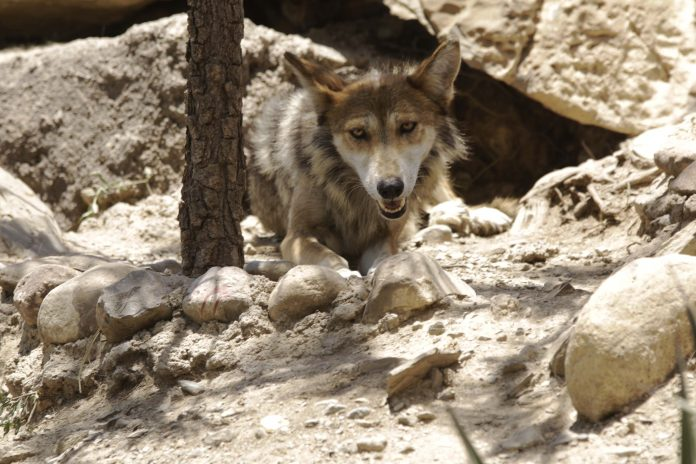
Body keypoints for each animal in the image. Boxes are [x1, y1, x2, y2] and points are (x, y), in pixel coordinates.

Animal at [247, 41, 511, 278]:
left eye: (407, 126)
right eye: (358, 132)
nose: (390, 188)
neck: (356, 199)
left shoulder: (384, 236)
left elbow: (385, 258)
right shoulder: (297, 236)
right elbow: (329, 256)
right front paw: (346, 274)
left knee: (444, 197)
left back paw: (477, 214)